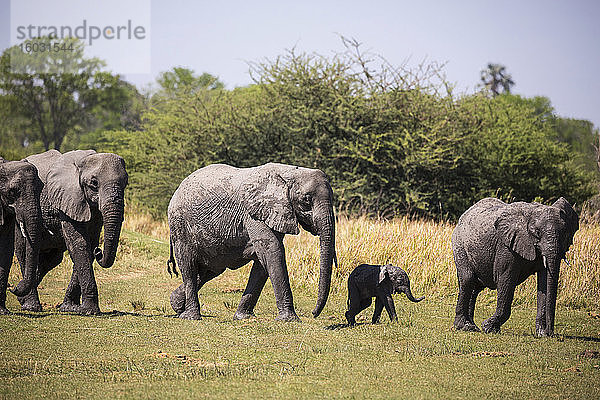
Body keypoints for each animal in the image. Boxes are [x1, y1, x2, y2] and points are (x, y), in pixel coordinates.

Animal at [14, 150, 127, 316]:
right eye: (94, 183)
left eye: (125, 183)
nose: (99, 251)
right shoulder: (66, 199)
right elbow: (79, 244)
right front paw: (89, 311)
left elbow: (88, 245)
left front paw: (70, 308)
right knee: (23, 251)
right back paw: (31, 306)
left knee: (51, 260)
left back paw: (20, 295)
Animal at [168, 162, 338, 322]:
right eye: (306, 200)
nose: (314, 313)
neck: (288, 172)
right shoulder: (253, 213)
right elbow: (272, 250)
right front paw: (289, 319)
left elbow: (263, 261)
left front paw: (244, 317)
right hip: (180, 226)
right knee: (189, 267)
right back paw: (190, 316)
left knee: (209, 270)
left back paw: (176, 305)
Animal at [452, 196, 580, 334]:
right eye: (536, 232)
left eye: (565, 233)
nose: (550, 333)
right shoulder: (506, 246)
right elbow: (507, 279)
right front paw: (488, 328)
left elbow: (545, 281)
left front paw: (541, 334)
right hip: (460, 245)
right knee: (468, 280)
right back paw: (465, 327)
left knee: (476, 287)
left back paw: (472, 326)